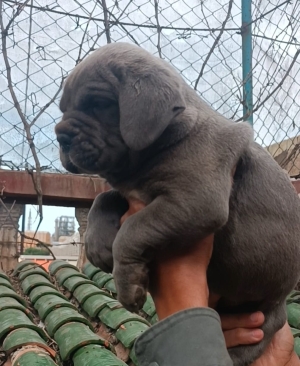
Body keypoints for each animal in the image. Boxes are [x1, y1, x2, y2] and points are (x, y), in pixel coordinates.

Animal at [55, 43, 300, 366]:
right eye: (63, 109)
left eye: (98, 103)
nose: (60, 136)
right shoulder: (133, 189)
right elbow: (103, 197)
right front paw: (97, 244)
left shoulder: (196, 198)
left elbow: (133, 229)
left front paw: (128, 284)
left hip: (263, 313)